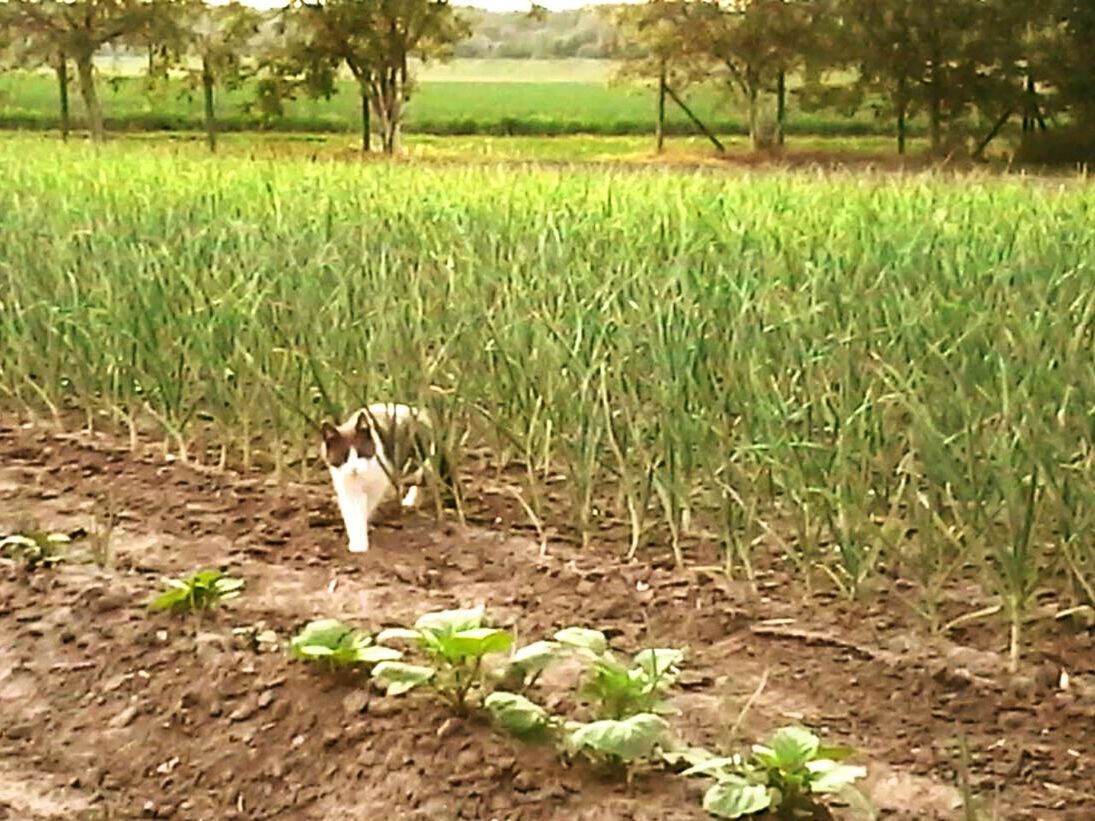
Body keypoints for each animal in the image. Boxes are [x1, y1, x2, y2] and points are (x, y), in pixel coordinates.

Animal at [319, 402, 444, 556]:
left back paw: (412, 500)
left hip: (420, 454)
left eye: (361, 453)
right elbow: (353, 511)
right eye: (343, 457)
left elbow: (368, 504)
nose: (354, 468)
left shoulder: (379, 480)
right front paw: (357, 542)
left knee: (422, 477)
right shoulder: (346, 484)